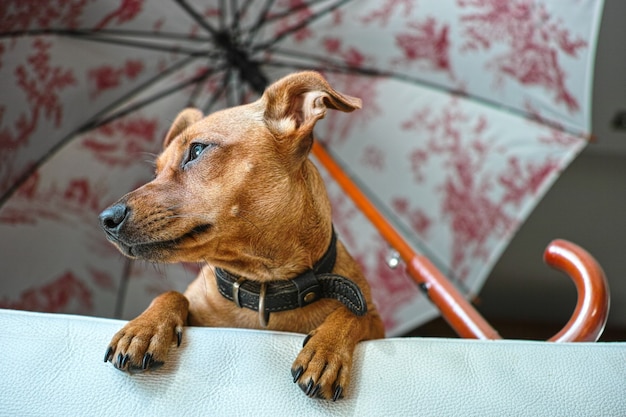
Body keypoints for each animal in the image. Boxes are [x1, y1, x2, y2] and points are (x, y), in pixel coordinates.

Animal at [98, 71, 382, 400]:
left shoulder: (375, 322)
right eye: (155, 172)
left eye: (197, 150)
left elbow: (355, 314)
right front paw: (142, 330)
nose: (106, 219)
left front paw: (326, 350)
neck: (263, 286)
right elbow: (172, 294)